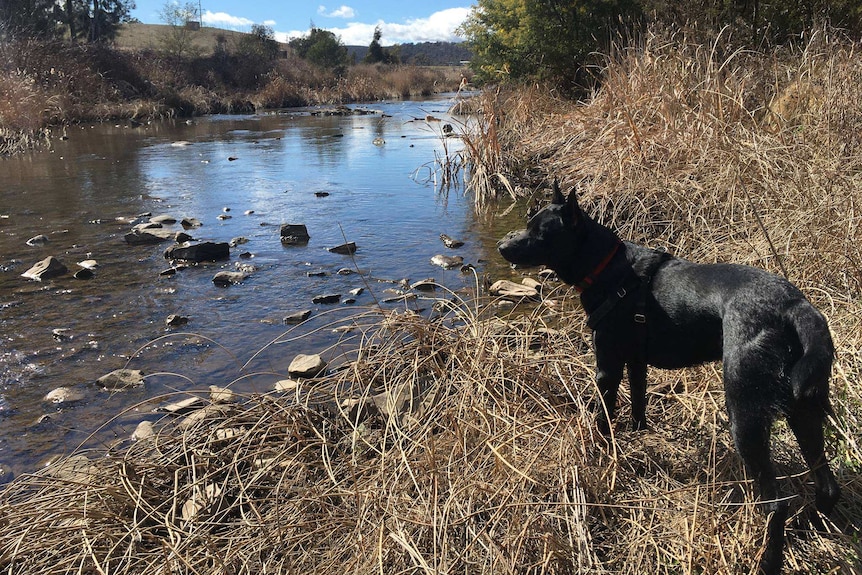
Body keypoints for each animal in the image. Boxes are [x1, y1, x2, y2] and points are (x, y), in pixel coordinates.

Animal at [500, 182, 844, 572]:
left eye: (540, 232)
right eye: (529, 222)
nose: (502, 247)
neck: (607, 266)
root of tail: (795, 307)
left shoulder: (607, 367)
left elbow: (603, 417)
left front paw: (598, 453)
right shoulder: (636, 362)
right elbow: (638, 403)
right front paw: (639, 437)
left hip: (746, 413)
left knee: (776, 504)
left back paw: (767, 560)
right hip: (806, 409)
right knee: (827, 486)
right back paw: (807, 527)